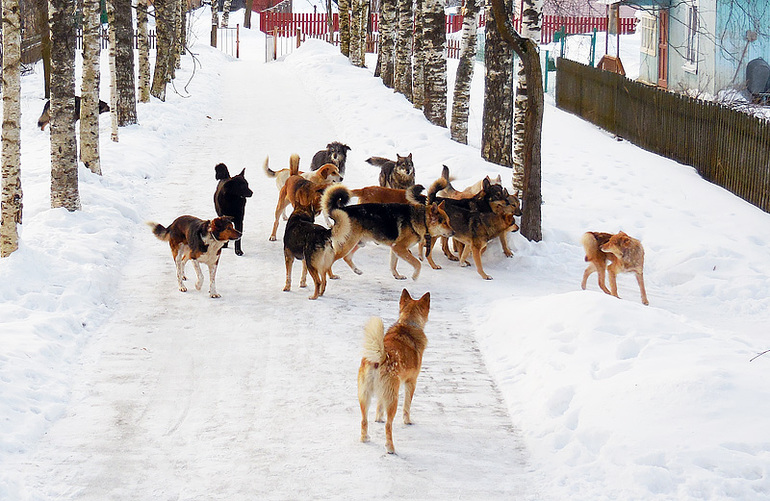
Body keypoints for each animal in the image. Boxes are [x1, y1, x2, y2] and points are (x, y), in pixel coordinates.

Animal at [320, 182, 452, 280]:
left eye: (448, 221)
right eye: (444, 223)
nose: (453, 233)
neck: (422, 219)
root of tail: (342, 210)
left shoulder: (395, 248)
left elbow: (393, 265)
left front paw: (397, 276)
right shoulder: (400, 248)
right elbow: (417, 263)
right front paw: (415, 276)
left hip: (359, 243)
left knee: (347, 258)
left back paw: (357, 270)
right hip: (348, 244)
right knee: (331, 260)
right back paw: (331, 275)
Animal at [356, 288, 428, 456]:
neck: (408, 324)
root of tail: (379, 358)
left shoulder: (382, 393)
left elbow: (379, 406)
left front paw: (378, 418)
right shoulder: (411, 382)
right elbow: (407, 406)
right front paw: (408, 421)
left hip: (365, 396)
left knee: (364, 420)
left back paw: (365, 438)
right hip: (393, 398)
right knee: (388, 426)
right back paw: (390, 448)